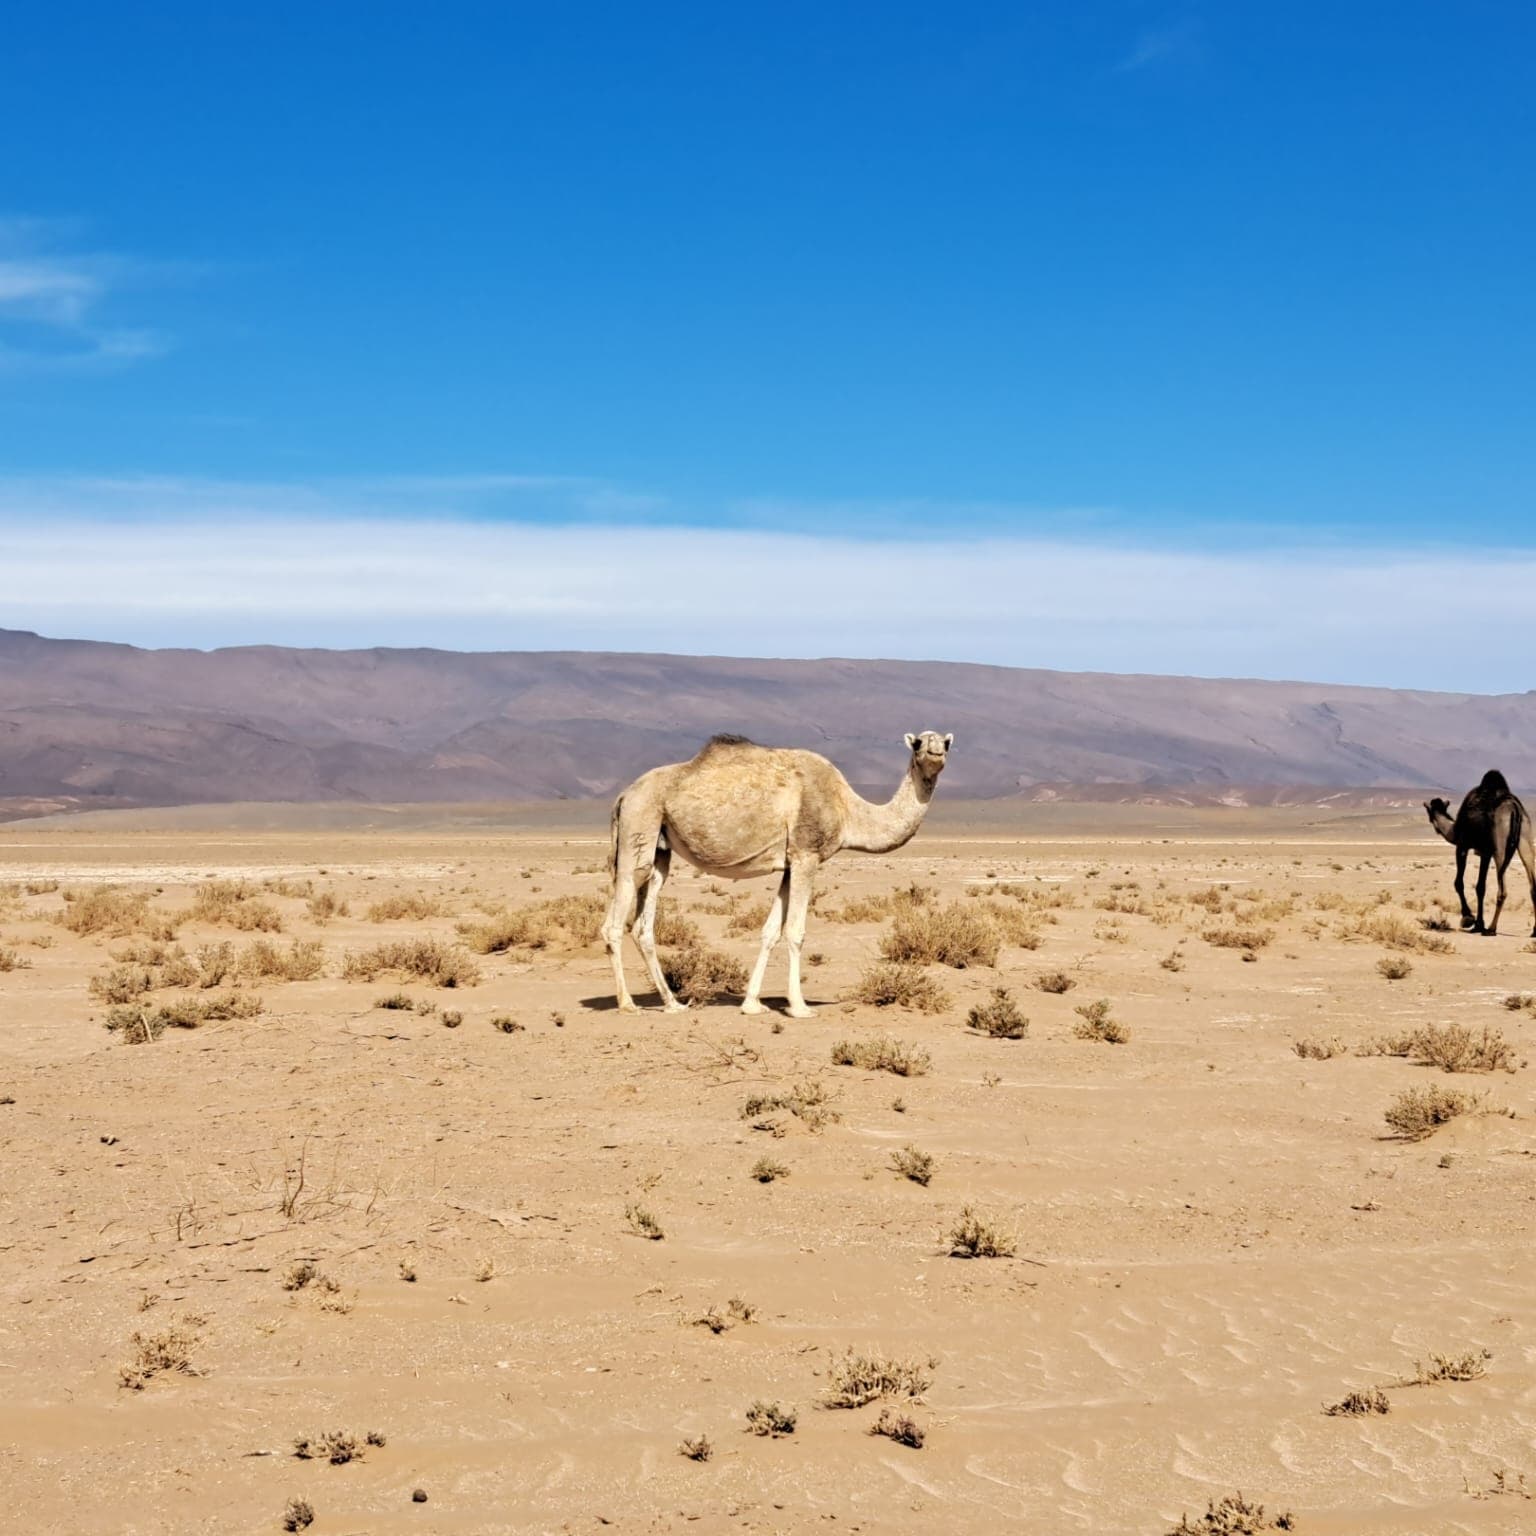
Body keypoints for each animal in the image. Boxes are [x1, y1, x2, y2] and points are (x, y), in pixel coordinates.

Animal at [599, 734, 946, 1019]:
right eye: (918, 743)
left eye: (946, 742)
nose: (936, 751)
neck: (849, 811)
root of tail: (623, 796)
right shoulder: (807, 855)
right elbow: (795, 931)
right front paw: (799, 1007)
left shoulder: (790, 864)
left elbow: (770, 932)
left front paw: (752, 1004)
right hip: (639, 826)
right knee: (613, 923)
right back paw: (628, 1003)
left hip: (659, 847)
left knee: (643, 924)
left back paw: (672, 1003)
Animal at [1419, 768, 1529, 933]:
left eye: (1429, 813)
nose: (1434, 826)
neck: (1454, 829)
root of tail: (1513, 808)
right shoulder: (1485, 852)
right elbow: (1480, 887)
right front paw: (1478, 923)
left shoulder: (1463, 845)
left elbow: (1459, 883)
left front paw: (1468, 918)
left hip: (1500, 845)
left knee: (1502, 887)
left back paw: (1491, 929)